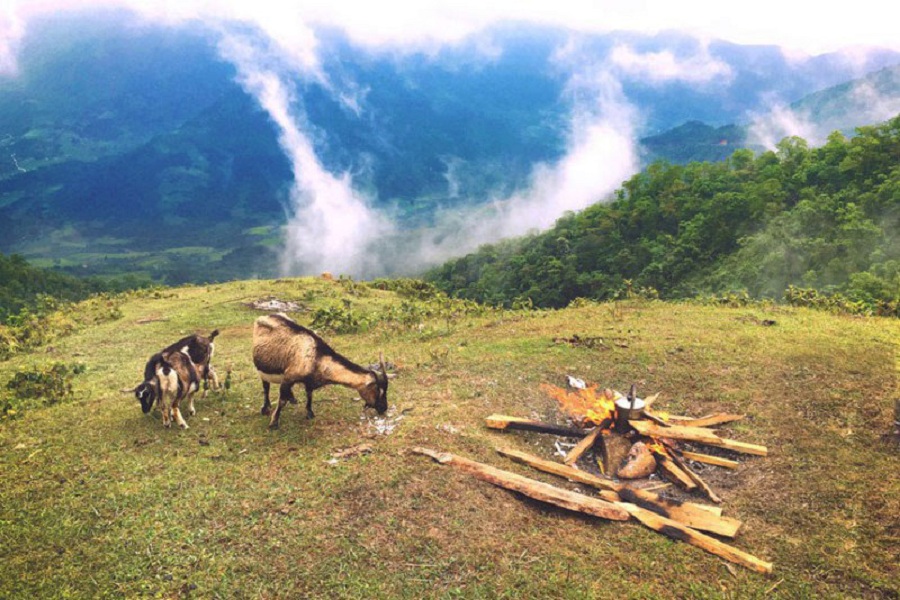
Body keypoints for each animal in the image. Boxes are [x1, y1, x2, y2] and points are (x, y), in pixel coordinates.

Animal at [253, 312, 394, 428]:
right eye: (378, 390)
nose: (384, 408)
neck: (317, 356)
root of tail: (266, 315)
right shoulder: (288, 378)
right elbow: (281, 401)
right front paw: (274, 422)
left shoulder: (308, 381)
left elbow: (309, 395)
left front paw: (310, 413)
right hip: (262, 369)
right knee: (266, 387)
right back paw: (265, 408)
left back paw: (292, 398)